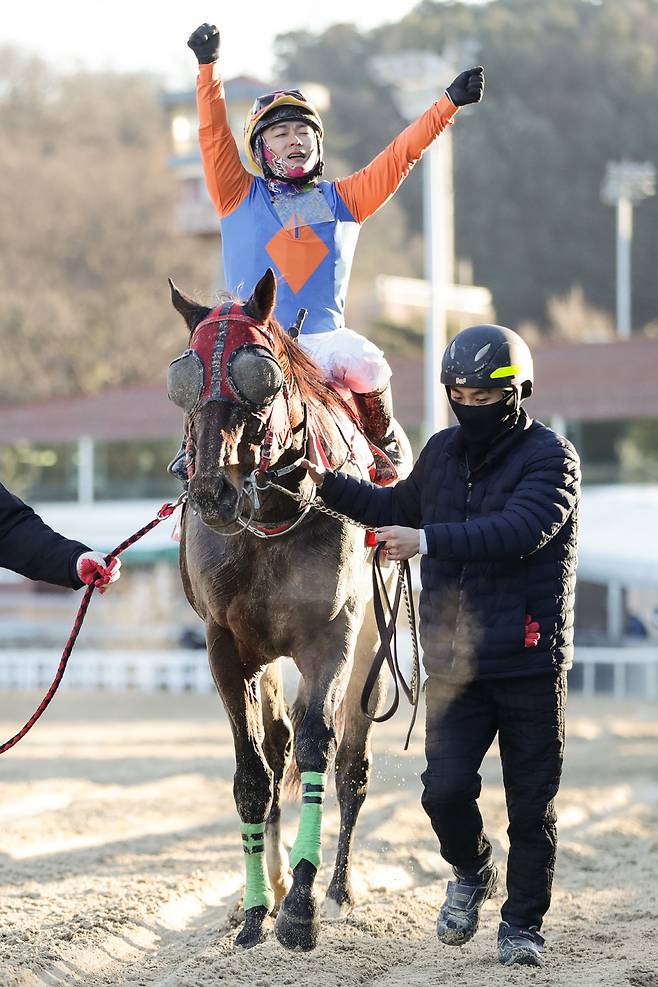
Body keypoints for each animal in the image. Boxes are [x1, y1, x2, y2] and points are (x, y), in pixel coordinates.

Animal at [167, 268, 408, 948]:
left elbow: (319, 747)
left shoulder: (333, 635)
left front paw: (301, 907)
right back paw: (270, 891)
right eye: (183, 376)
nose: (212, 491)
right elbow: (254, 771)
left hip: (373, 642)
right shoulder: (227, 643)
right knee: (276, 748)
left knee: (351, 761)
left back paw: (337, 889)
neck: (270, 519)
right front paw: (256, 910)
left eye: (261, 371)